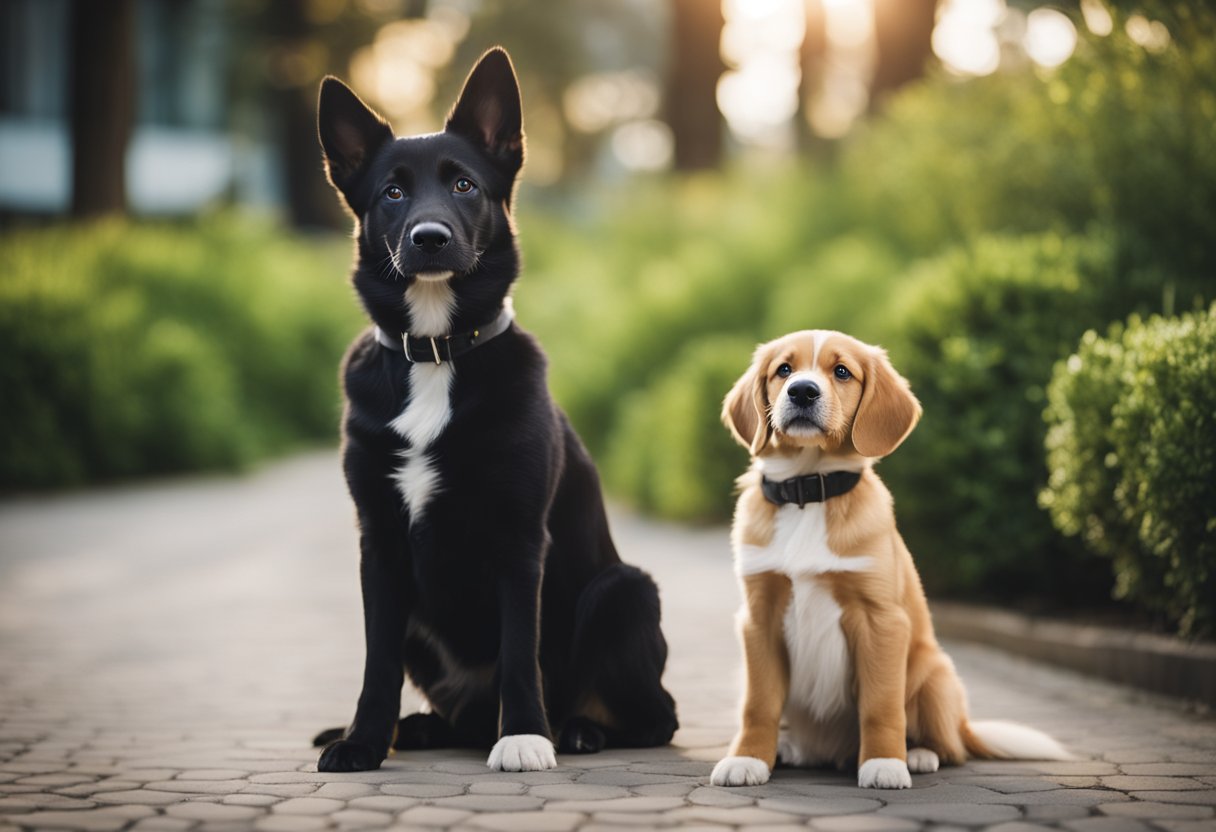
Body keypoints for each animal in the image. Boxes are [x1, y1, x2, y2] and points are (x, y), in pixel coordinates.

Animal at [311, 47, 676, 773]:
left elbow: (518, 651)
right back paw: (423, 729)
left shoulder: (519, 538)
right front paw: (364, 740)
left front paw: (526, 737)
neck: (435, 353)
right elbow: (376, 661)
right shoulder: (379, 545)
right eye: (392, 193)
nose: (428, 237)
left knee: (655, 716)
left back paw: (575, 729)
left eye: (464, 185)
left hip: (624, 591)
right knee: (457, 714)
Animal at [710, 330, 1070, 788]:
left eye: (841, 371)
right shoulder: (760, 616)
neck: (809, 488)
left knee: (952, 749)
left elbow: (881, 705)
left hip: (934, 674)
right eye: (784, 370)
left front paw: (884, 762)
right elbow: (758, 704)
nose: (802, 391)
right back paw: (790, 748)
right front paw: (748, 758)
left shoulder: (881, 619)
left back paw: (915, 754)